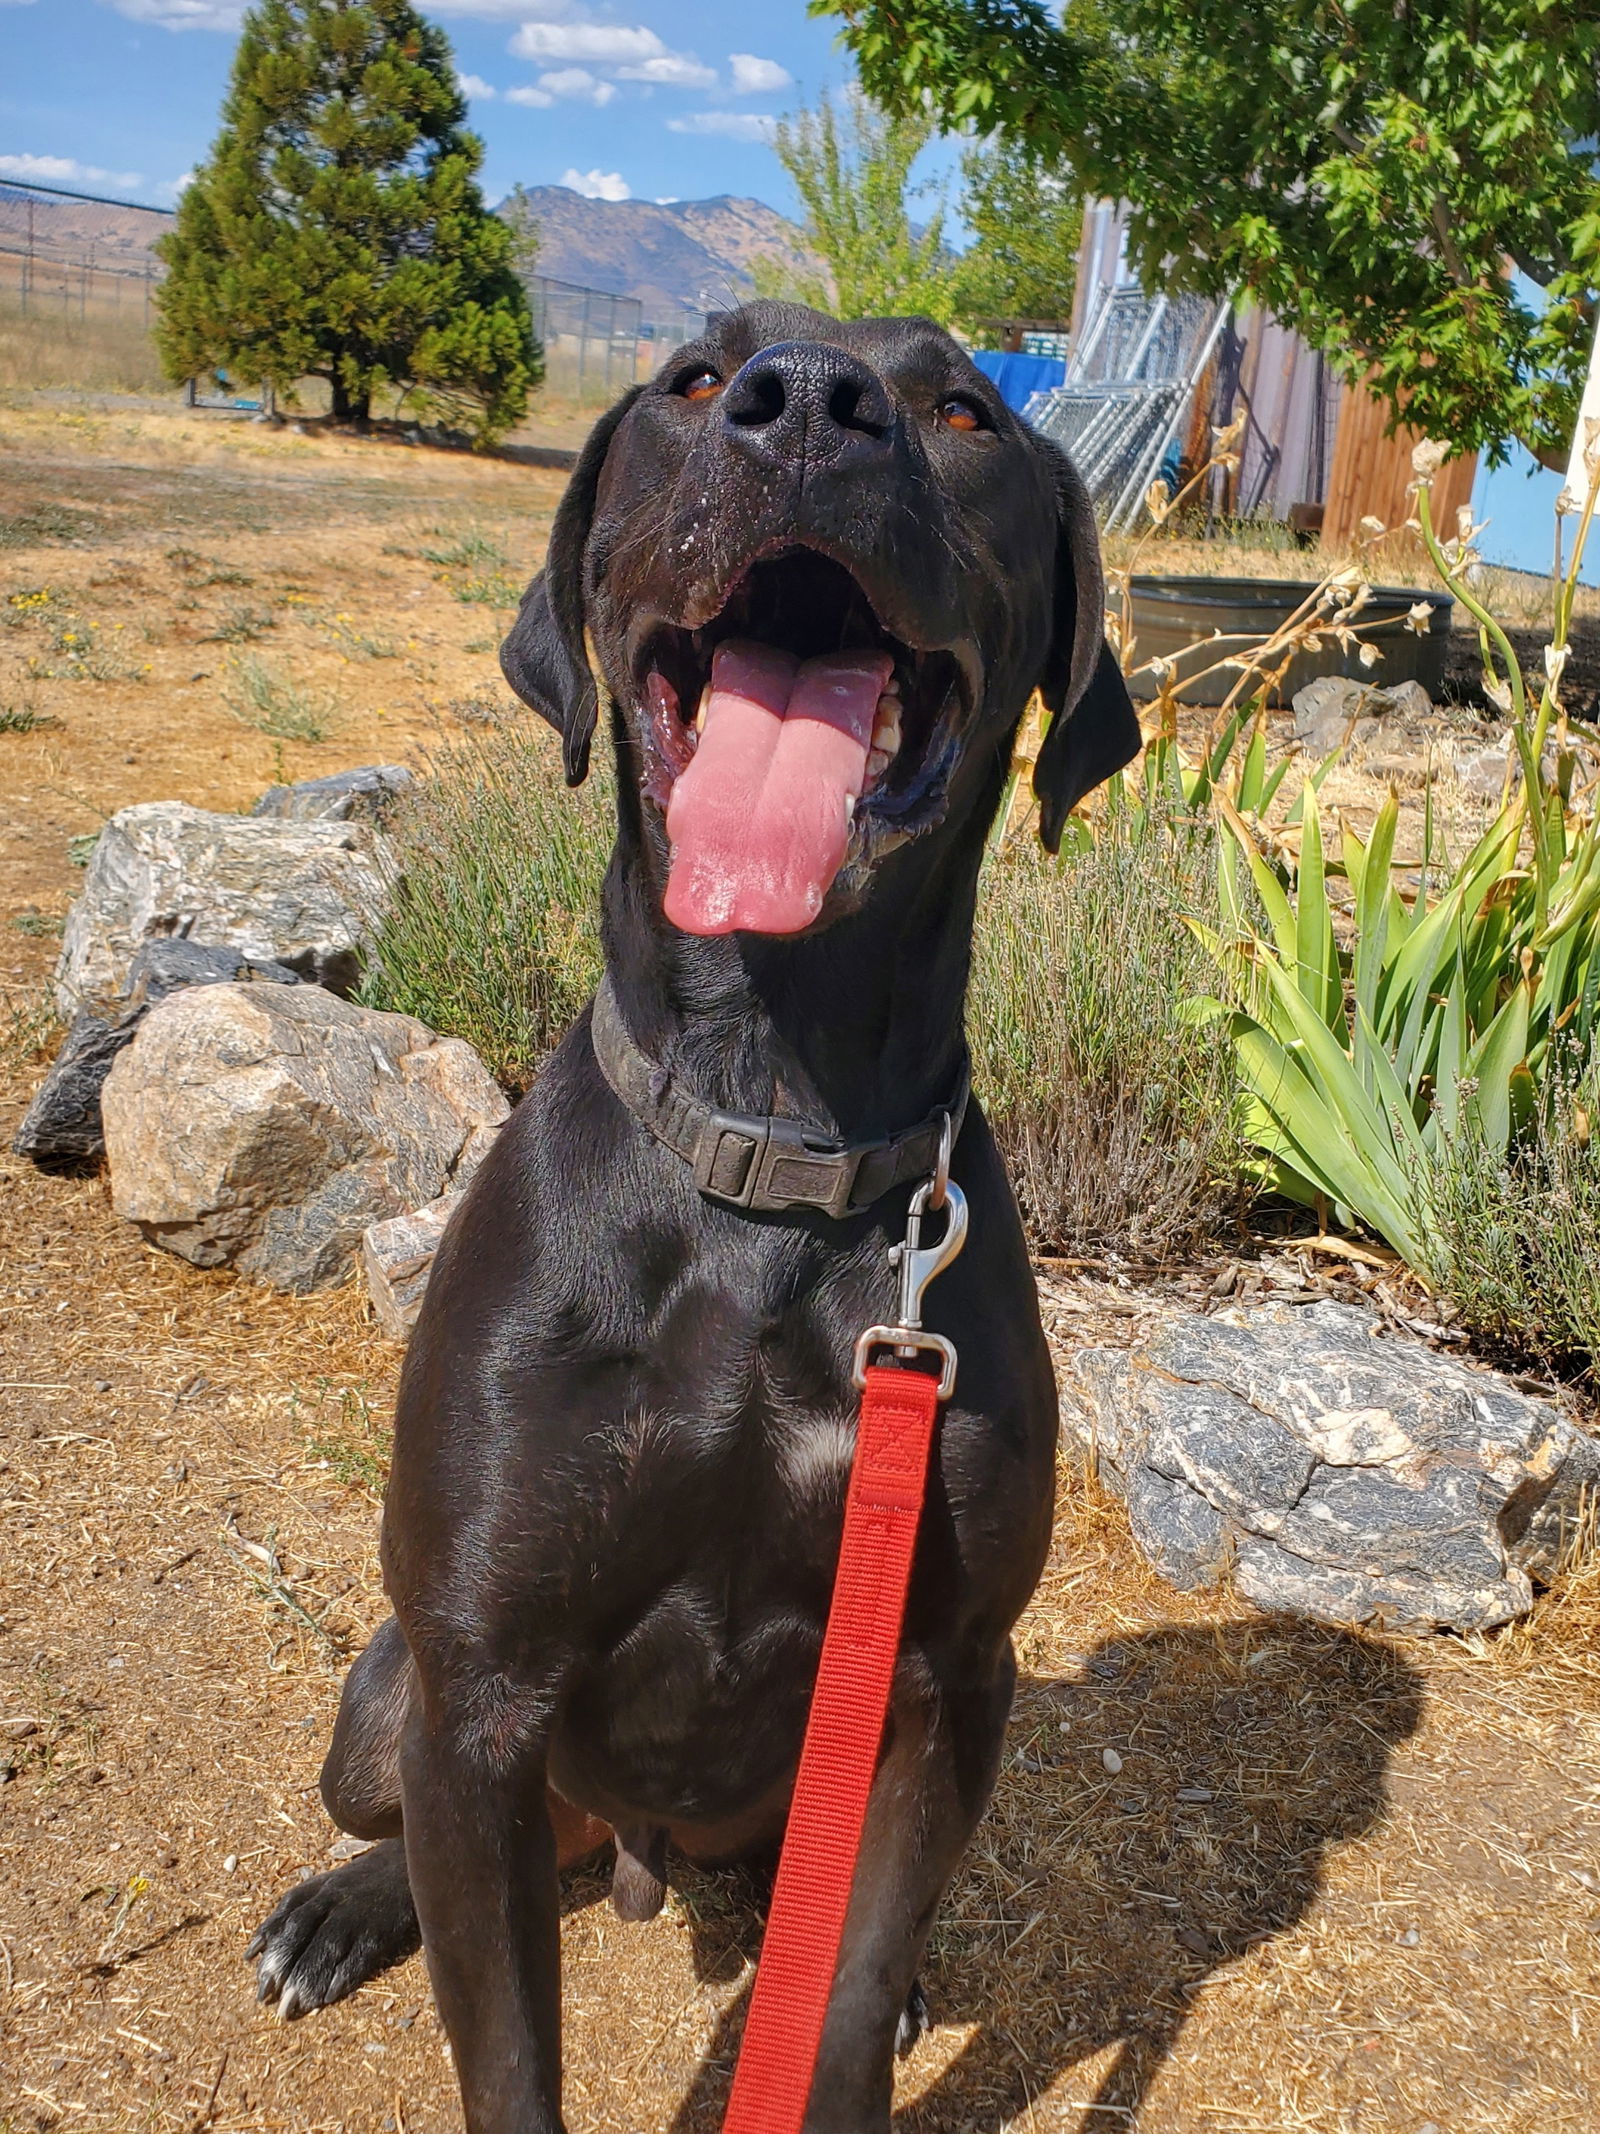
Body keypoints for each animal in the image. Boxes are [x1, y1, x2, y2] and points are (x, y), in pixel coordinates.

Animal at [244, 305, 1143, 2134]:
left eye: (966, 408)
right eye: (693, 380)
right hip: (386, 1699)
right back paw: (339, 1908)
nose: (802, 407)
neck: (767, 1133)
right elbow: (505, 2047)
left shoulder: (952, 1672)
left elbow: (848, 1991)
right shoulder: (478, 1690)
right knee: (421, 1828)